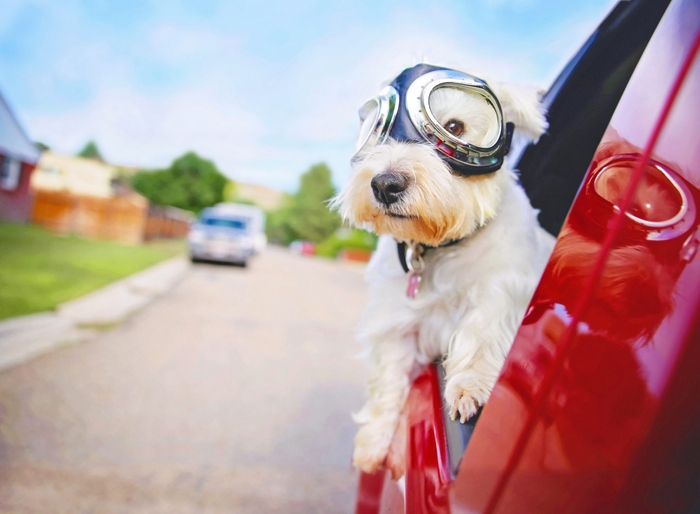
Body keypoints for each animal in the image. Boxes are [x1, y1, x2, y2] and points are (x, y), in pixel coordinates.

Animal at [330, 65, 556, 476]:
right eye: (378, 131)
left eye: (454, 126)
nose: (385, 184)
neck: (439, 246)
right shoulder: (397, 324)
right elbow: (388, 380)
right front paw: (373, 443)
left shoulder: (503, 289)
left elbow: (481, 331)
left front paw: (470, 386)